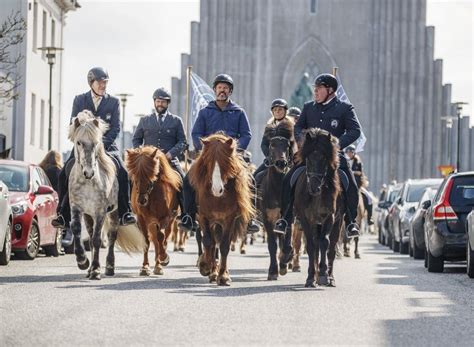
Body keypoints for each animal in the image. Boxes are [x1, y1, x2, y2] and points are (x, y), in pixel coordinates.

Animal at [67, 111, 143, 280]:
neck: (88, 183)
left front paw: (95, 269)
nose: (89, 173)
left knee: (111, 236)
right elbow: (76, 229)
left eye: (96, 143)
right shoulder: (76, 208)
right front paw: (83, 261)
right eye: (79, 142)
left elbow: (97, 239)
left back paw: (109, 267)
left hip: (114, 213)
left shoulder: (100, 211)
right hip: (88, 215)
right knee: (89, 235)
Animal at [126, 147, 181, 278]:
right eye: (135, 174)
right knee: (155, 241)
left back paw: (160, 262)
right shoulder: (141, 218)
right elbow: (146, 240)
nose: (141, 200)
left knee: (163, 237)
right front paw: (145, 267)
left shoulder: (165, 217)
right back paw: (157, 265)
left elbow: (161, 237)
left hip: (169, 220)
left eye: (151, 174)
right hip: (151, 223)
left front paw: (164, 257)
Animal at [189, 133, 256, 286]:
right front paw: (206, 266)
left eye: (226, 161)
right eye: (208, 161)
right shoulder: (203, 217)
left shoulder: (229, 219)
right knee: (208, 241)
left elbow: (224, 245)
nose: (217, 189)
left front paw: (223, 276)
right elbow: (208, 241)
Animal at [292, 128, 344, 288]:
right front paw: (311, 277)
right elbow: (311, 245)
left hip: (337, 223)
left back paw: (330, 277)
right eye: (308, 159)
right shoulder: (306, 219)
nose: (314, 188)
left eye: (324, 159)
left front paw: (323, 275)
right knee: (315, 245)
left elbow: (325, 243)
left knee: (331, 247)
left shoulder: (329, 217)